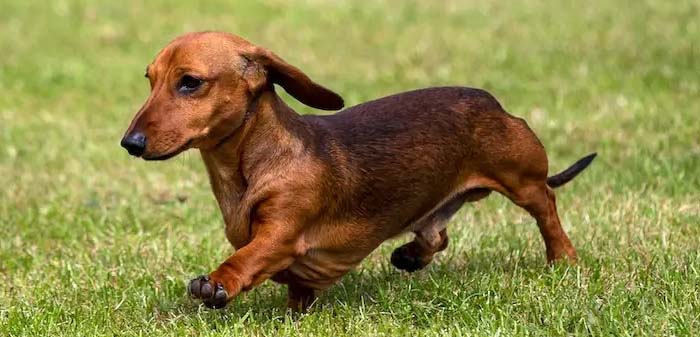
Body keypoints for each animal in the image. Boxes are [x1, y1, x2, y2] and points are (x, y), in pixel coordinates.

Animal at [120, 31, 596, 310]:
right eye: (150, 80)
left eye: (190, 82)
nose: (130, 144)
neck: (249, 165)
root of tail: (494, 104)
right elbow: (297, 290)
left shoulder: (282, 233)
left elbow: (248, 257)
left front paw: (218, 283)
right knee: (437, 233)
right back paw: (411, 254)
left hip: (522, 179)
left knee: (547, 208)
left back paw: (563, 260)